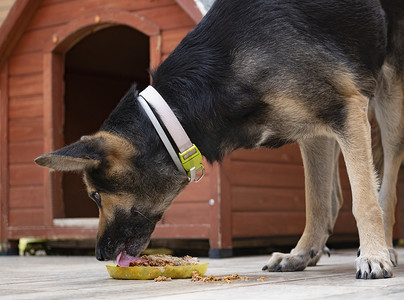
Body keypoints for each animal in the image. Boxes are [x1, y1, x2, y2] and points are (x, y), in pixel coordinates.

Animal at [34, 0, 404, 278]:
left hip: (390, 97)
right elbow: (316, 202)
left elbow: (364, 200)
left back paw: (384, 248)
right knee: (335, 196)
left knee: (386, 182)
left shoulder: (344, 111)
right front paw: (301, 253)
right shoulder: (316, 133)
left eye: (96, 196)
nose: (98, 254)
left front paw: (373, 255)